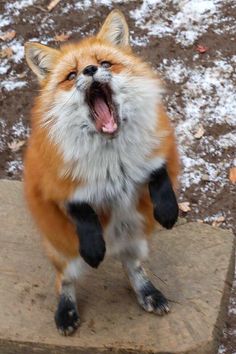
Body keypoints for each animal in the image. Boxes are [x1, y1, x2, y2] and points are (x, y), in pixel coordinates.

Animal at [24, 8, 180, 334]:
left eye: (105, 63)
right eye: (71, 75)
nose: (90, 70)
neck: (114, 161)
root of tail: (118, 242)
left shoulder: (161, 144)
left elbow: (158, 174)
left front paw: (168, 210)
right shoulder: (51, 183)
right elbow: (80, 207)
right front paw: (94, 247)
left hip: (138, 242)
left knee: (133, 269)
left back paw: (148, 293)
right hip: (65, 253)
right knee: (64, 282)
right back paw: (66, 311)